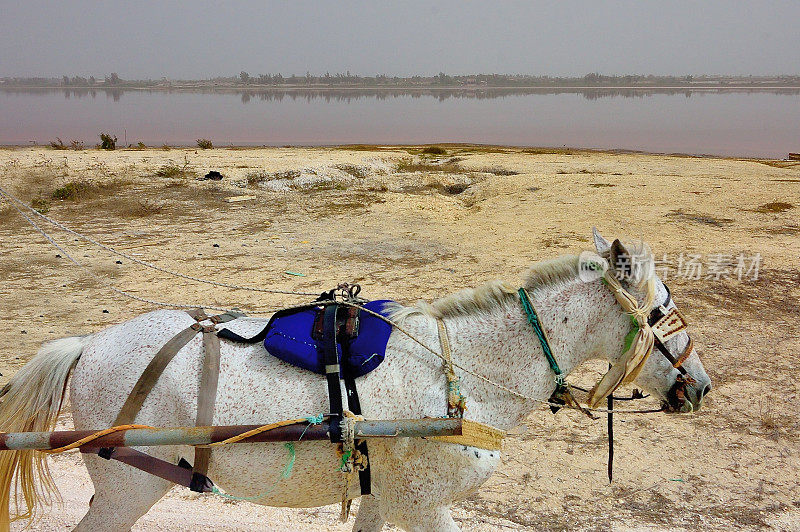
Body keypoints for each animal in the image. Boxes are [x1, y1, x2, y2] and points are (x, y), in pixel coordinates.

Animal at [0, 232, 712, 532]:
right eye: (660, 312)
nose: (700, 387)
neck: (459, 371)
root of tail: (87, 343)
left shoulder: (384, 498)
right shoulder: (426, 505)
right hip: (129, 490)